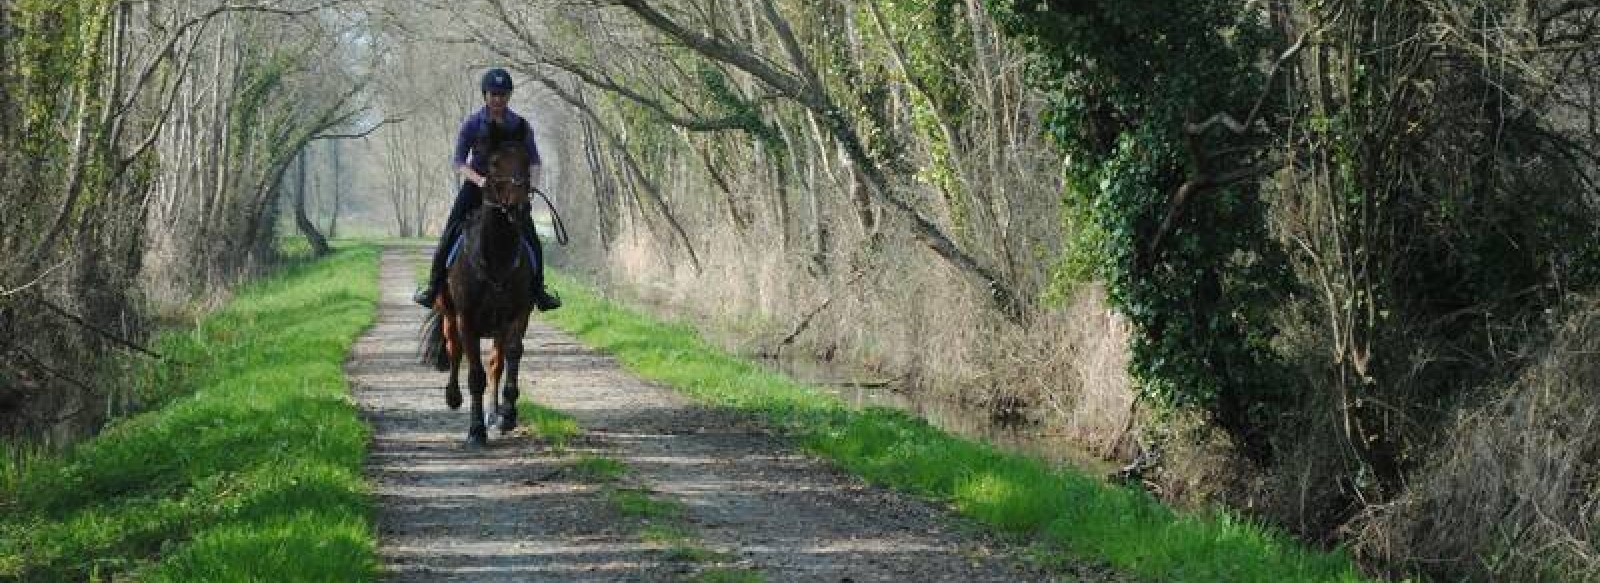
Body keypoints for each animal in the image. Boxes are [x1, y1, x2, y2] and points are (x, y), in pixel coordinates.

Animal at [422, 123, 534, 445]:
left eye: (526, 161)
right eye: (494, 163)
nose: (519, 208)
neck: (496, 257)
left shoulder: (517, 314)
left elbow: (511, 355)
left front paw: (507, 413)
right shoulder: (467, 319)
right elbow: (474, 374)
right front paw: (475, 430)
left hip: (496, 327)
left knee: (496, 362)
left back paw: (494, 413)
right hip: (450, 315)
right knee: (454, 348)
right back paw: (453, 397)